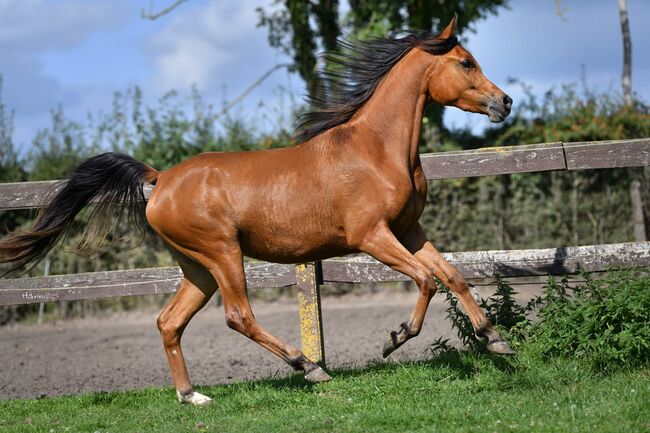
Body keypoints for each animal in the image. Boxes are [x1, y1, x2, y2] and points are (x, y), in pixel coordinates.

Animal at [0, 14, 512, 404]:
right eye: (465, 62)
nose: (504, 102)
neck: (376, 148)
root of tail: (160, 180)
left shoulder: (409, 230)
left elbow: (452, 275)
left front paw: (496, 339)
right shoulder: (372, 235)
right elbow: (426, 280)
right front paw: (397, 337)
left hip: (198, 268)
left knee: (169, 322)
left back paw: (192, 396)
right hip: (223, 253)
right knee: (237, 316)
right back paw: (308, 366)